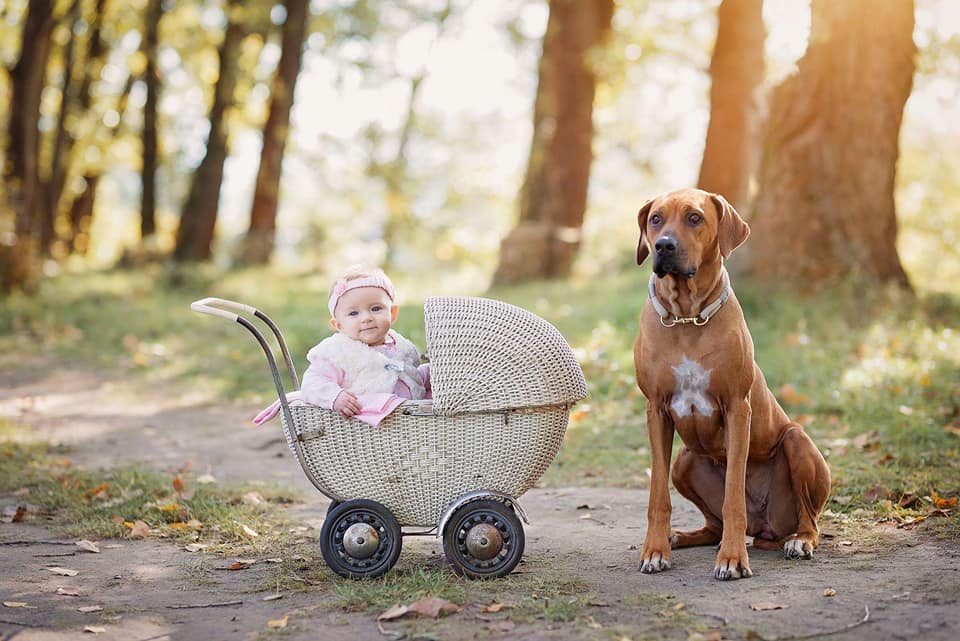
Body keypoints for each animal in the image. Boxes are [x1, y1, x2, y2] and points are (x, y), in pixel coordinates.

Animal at [632, 188, 828, 576]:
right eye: (656, 219)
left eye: (694, 218)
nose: (663, 245)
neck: (687, 317)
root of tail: (767, 528)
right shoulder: (656, 411)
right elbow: (657, 494)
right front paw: (655, 550)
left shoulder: (738, 409)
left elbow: (734, 494)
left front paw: (733, 557)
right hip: (685, 461)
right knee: (712, 525)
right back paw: (681, 536)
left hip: (796, 442)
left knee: (809, 518)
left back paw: (800, 541)